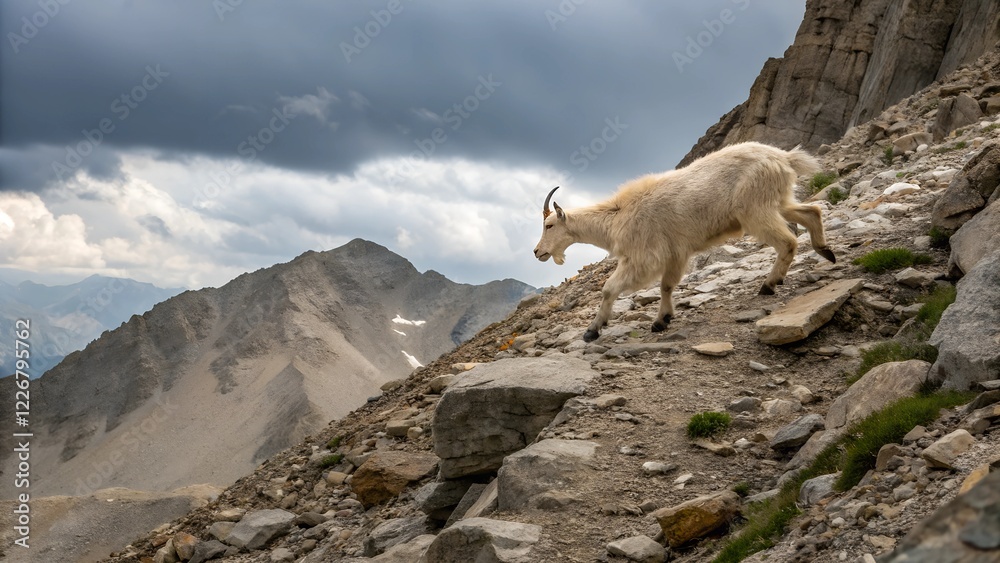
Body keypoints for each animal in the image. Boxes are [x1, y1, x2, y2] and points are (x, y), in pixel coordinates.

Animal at [533, 141, 836, 343]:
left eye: (549, 225)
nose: (538, 252)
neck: (616, 216)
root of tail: (784, 157)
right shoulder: (675, 253)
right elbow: (666, 285)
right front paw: (662, 320)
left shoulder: (645, 256)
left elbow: (610, 288)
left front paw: (592, 330)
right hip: (778, 201)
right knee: (812, 211)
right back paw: (826, 251)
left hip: (755, 209)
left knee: (788, 240)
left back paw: (769, 284)